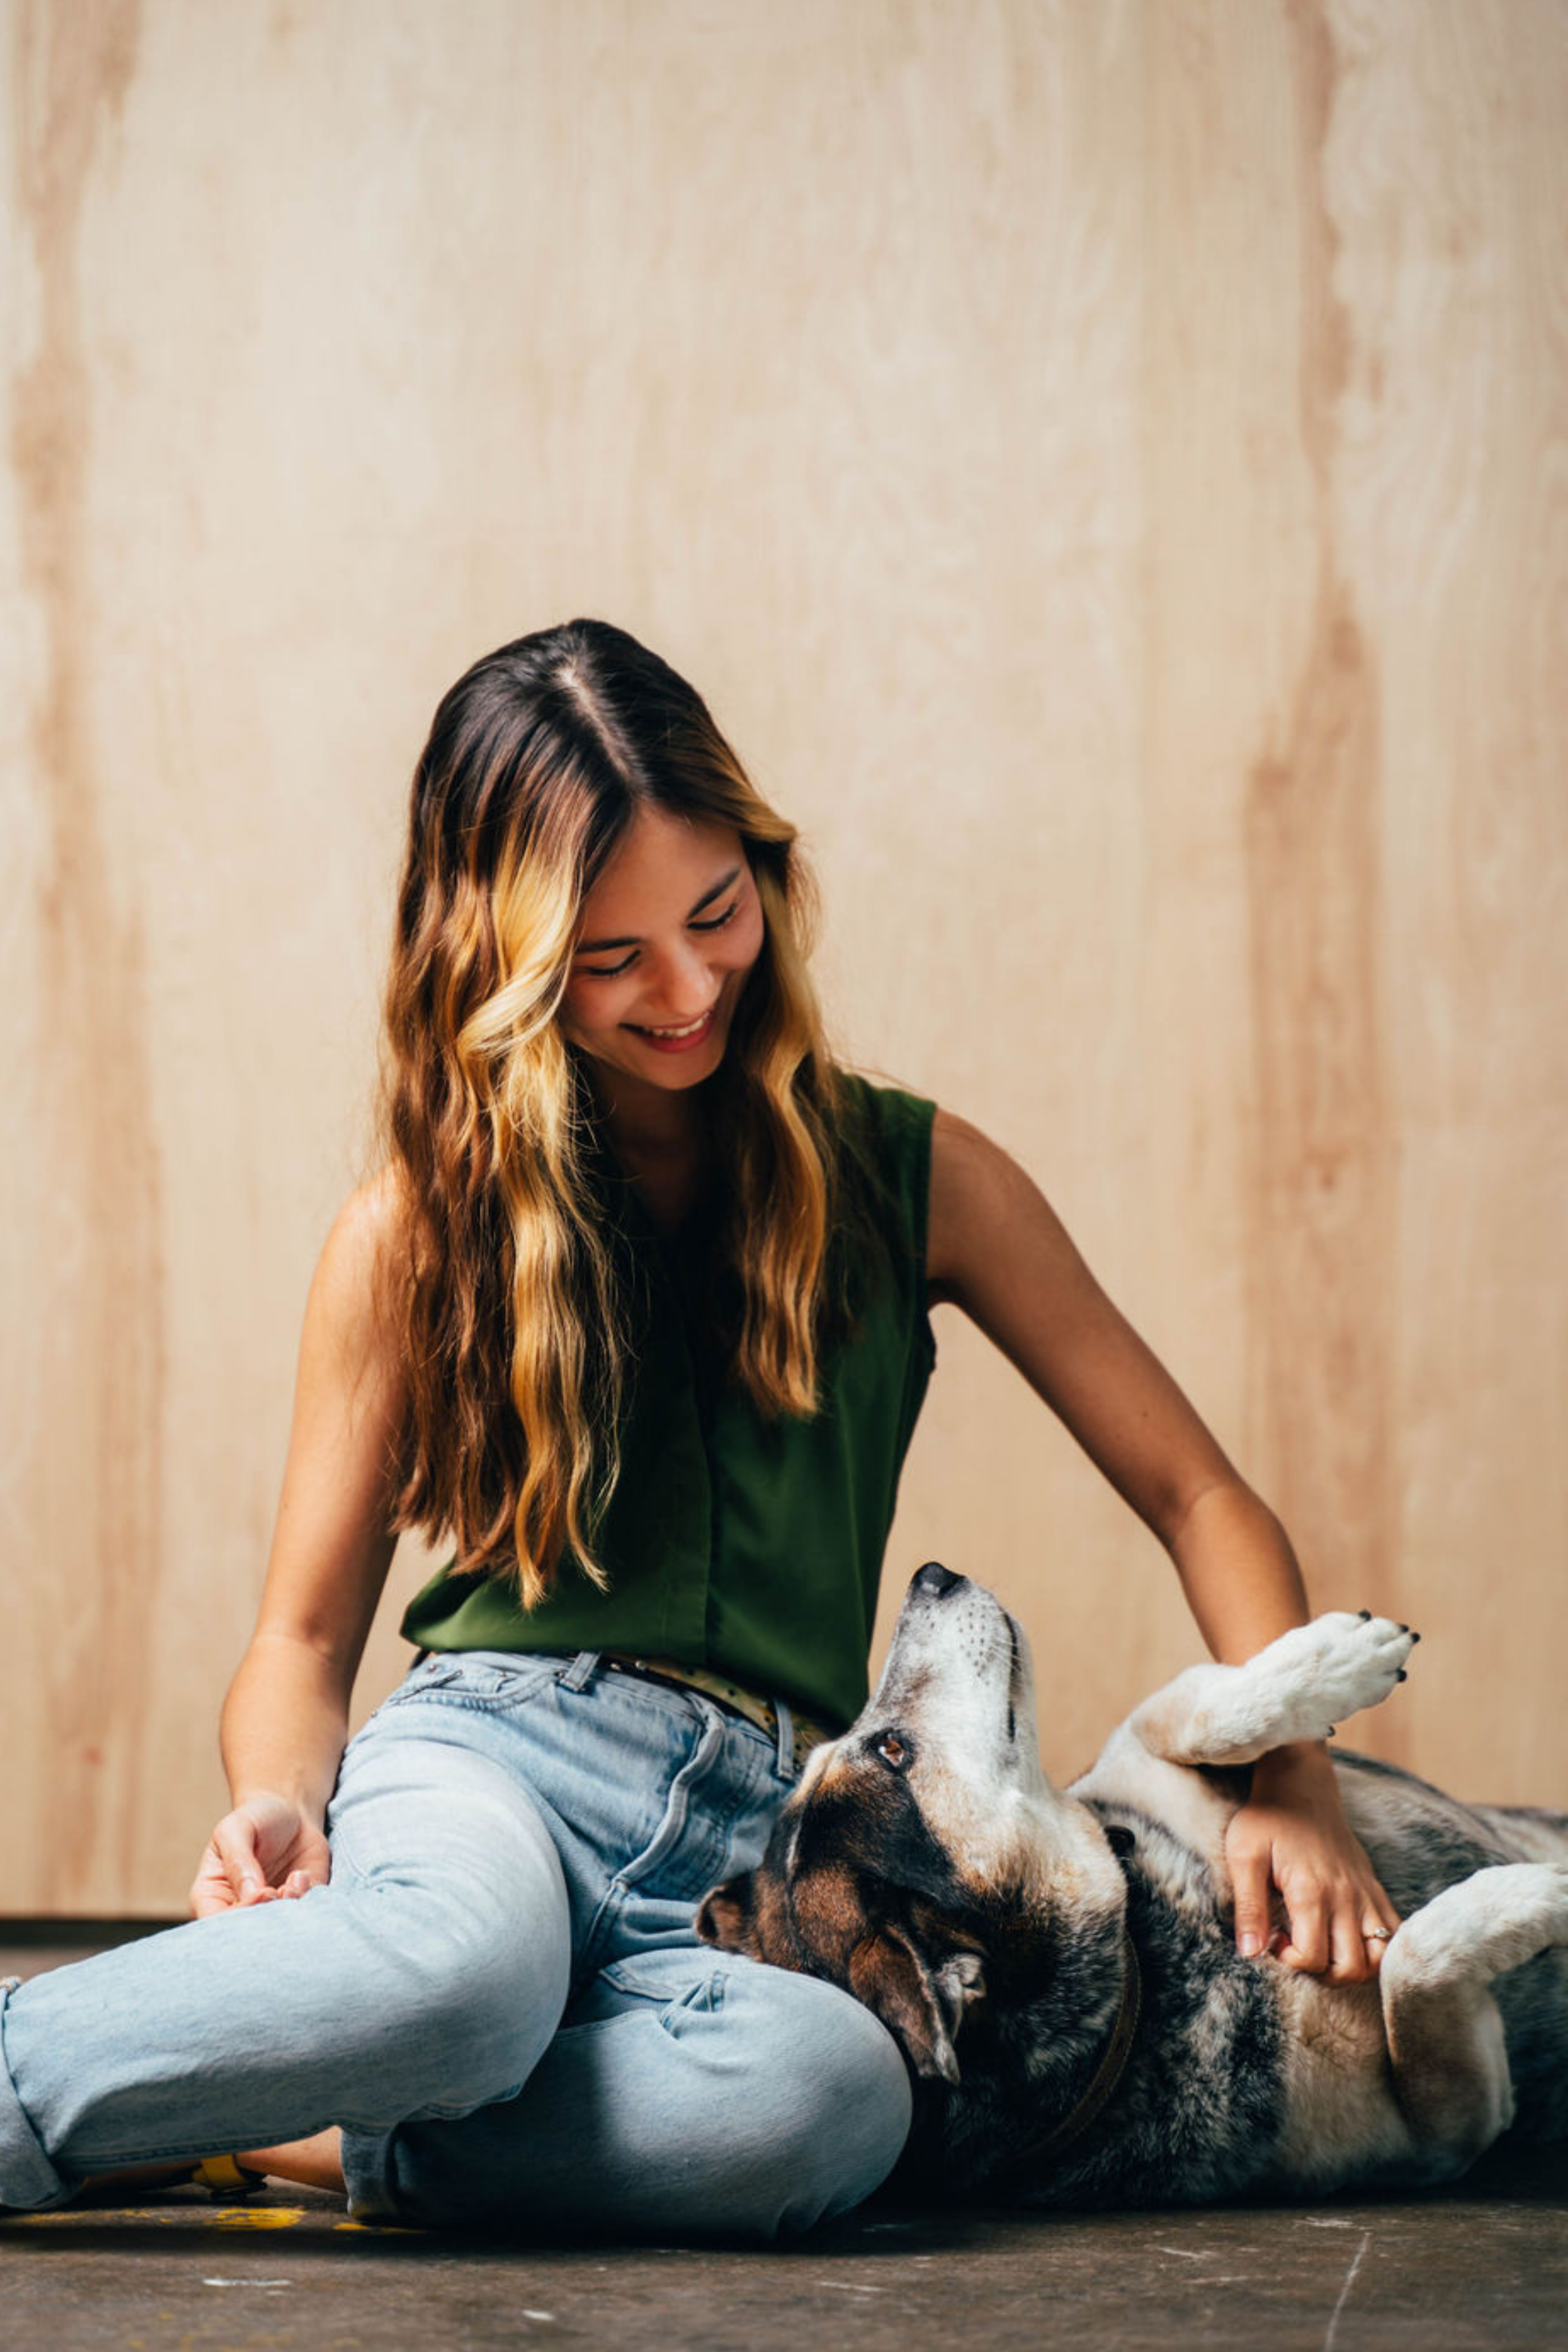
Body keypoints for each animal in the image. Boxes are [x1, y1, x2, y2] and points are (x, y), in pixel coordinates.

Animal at [701, 1562, 1568, 2201]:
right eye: (893, 1752)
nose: (930, 1574)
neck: (1151, 1957)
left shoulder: (1135, 1756)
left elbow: (1191, 1709)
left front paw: (1325, 1663)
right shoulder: (1440, 2131)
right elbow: (1410, 1968)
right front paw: (1535, 1895)